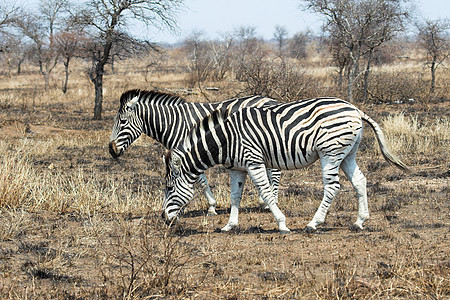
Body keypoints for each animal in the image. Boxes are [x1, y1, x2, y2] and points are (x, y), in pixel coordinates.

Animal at [108, 89, 282, 216]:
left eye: (123, 121)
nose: (111, 149)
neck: (172, 123)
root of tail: (273, 100)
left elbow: (199, 180)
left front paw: (209, 207)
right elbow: (197, 179)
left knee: (275, 172)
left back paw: (270, 202)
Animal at [163, 97, 412, 233]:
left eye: (168, 188)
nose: (165, 220)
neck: (227, 139)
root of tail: (355, 109)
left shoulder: (254, 160)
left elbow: (266, 192)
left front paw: (282, 224)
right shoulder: (238, 168)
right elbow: (235, 196)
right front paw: (229, 225)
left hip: (330, 153)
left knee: (332, 187)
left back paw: (313, 223)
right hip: (347, 153)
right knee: (360, 181)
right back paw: (359, 221)